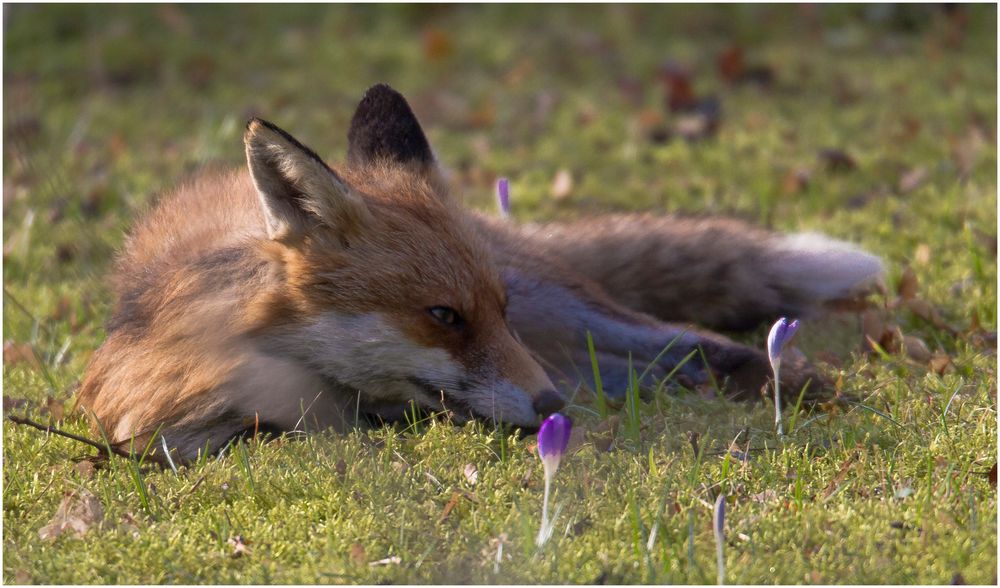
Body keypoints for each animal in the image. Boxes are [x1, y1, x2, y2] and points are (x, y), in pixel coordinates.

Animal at [78, 82, 884, 462]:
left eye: (494, 309)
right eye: (443, 315)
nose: (553, 408)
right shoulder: (140, 413)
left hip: (572, 313)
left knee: (691, 343)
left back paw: (794, 381)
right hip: (581, 351)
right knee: (653, 368)